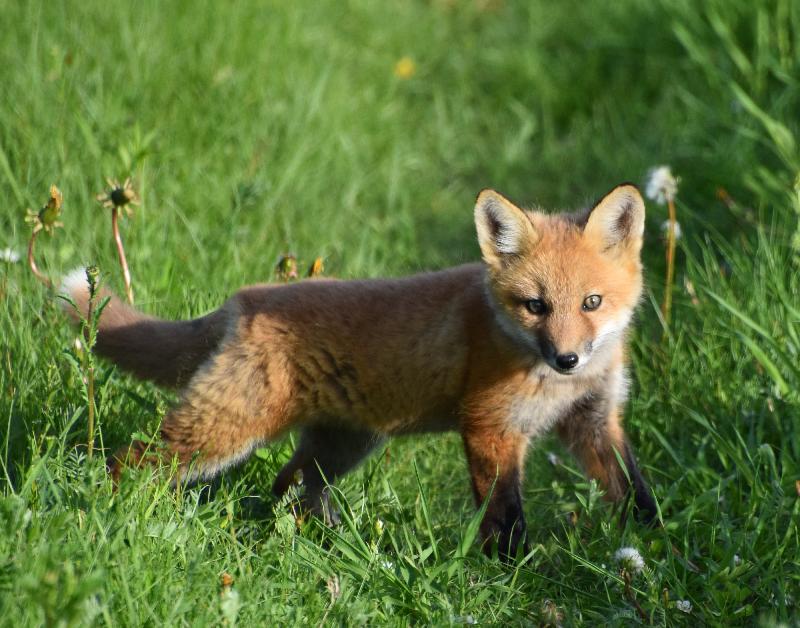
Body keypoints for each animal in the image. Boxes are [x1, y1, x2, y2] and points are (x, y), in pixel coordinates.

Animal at [62, 184, 660, 556]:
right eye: (535, 306)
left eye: (591, 302)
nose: (567, 359)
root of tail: (243, 299)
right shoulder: (490, 426)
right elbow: (504, 519)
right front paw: (509, 577)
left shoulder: (593, 419)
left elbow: (637, 494)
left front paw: (658, 555)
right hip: (223, 433)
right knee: (130, 462)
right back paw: (104, 513)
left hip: (343, 446)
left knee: (287, 489)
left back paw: (317, 544)